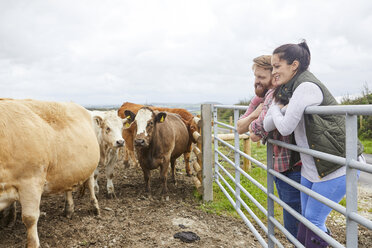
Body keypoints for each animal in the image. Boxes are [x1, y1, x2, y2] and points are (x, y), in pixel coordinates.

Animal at [0, 99, 100, 248]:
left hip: (91, 166)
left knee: (90, 184)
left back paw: (95, 207)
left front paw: (33, 244)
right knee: (68, 187)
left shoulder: (31, 181)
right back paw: (68, 210)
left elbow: (29, 218)